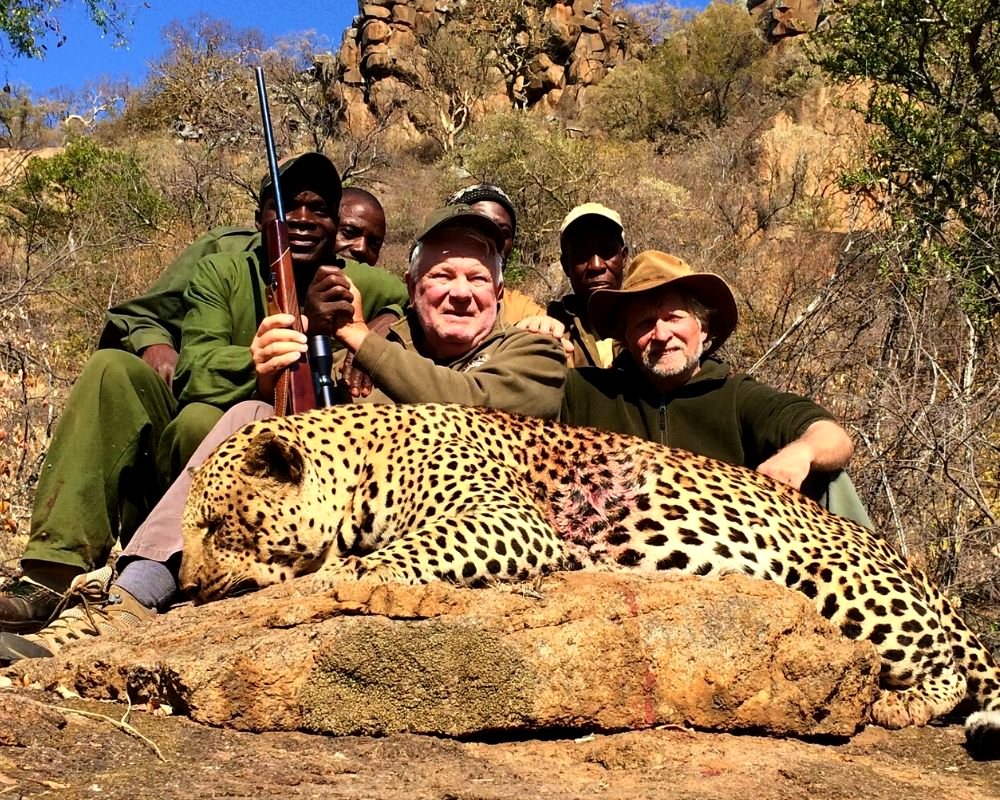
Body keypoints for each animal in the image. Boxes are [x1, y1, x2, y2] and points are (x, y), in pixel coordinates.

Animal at [179, 403, 1000, 754]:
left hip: (835, 580)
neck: (359, 461)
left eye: (215, 525)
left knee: (949, 670)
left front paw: (332, 581)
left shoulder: (506, 518)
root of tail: (914, 566)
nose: (184, 586)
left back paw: (896, 706)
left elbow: (385, 557)